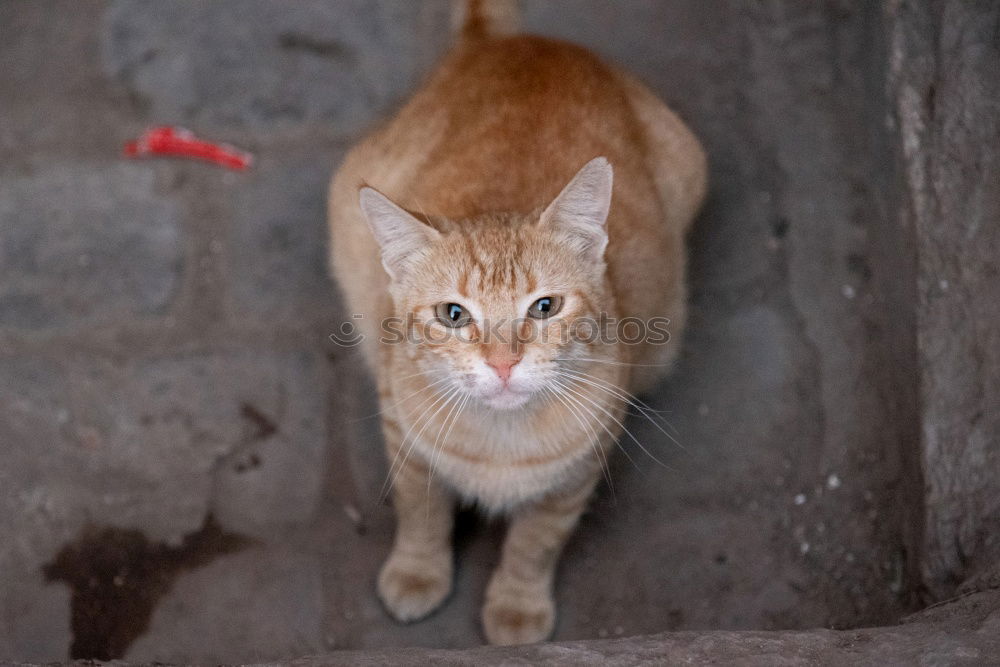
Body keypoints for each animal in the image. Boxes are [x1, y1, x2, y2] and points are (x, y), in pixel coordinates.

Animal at [326, 0, 704, 648]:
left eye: (544, 308)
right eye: (453, 315)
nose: (504, 364)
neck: (500, 445)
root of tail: (515, 43)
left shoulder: (576, 475)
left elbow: (535, 543)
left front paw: (517, 604)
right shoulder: (403, 433)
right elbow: (419, 510)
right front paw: (417, 570)